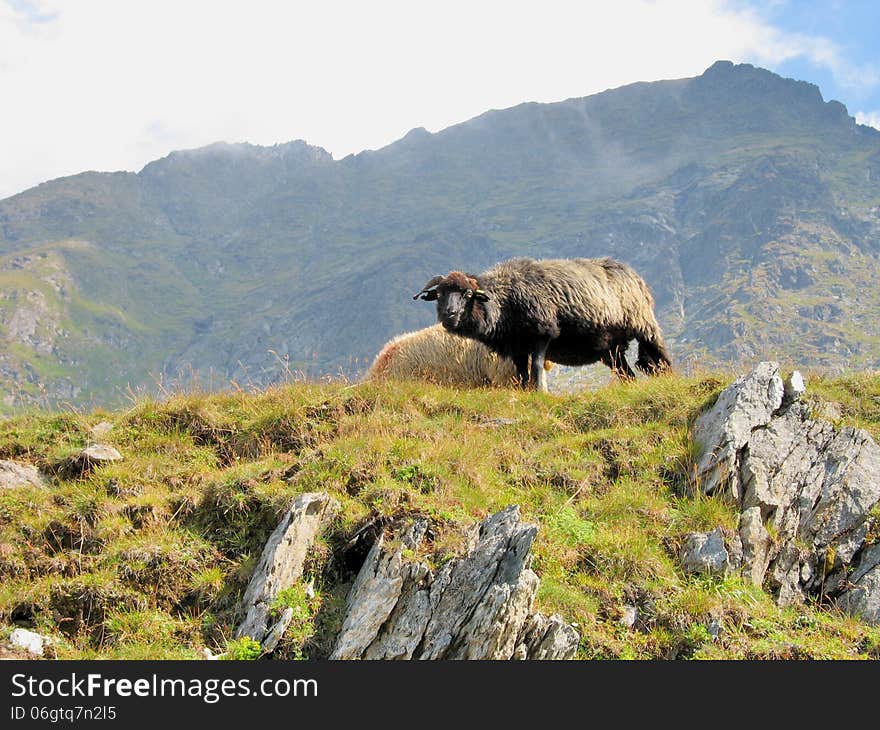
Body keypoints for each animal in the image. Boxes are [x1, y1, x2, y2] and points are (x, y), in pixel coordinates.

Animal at [416, 258, 672, 390]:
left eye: (467, 294)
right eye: (440, 294)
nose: (449, 314)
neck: (504, 302)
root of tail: (633, 274)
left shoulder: (541, 333)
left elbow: (537, 366)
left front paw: (539, 391)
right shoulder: (516, 347)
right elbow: (521, 372)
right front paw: (524, 391)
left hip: (644, 326)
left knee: (661, 357)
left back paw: (670, 379)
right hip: (611, 349)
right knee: (626, 373)